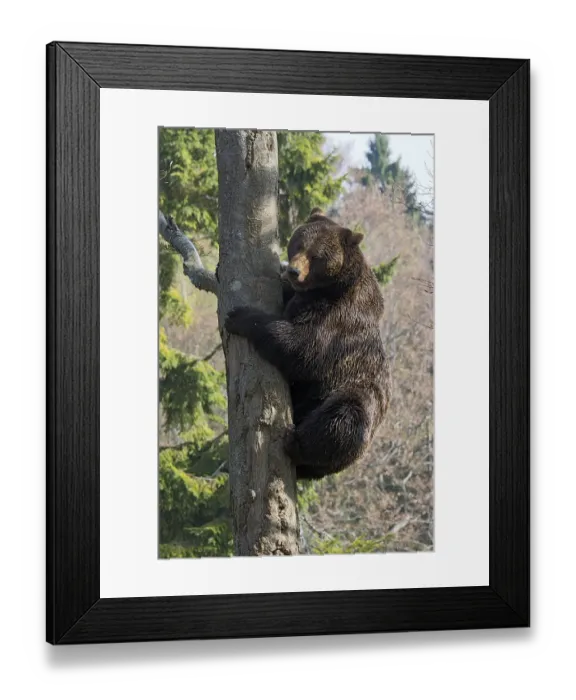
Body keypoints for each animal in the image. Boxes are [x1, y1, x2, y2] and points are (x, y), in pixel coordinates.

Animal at [224, 208, 391, 480]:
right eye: (298, 243)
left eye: (317, 256)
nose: (293, 271)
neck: (328, 289)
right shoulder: (301, 297)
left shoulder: (339, 321)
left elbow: (302, 348)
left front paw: (238, 316)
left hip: (356, 396)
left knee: (343, 420)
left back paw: (296, 443)